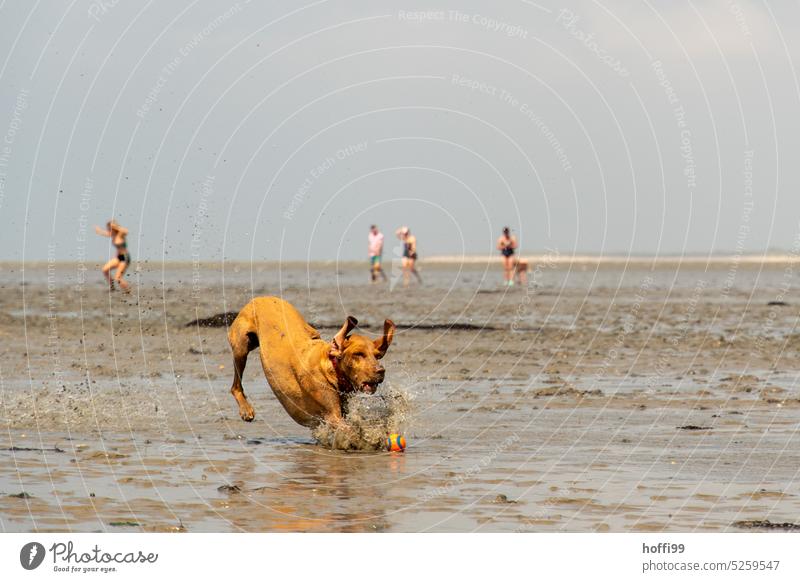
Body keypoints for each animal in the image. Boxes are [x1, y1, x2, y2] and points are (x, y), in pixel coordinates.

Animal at [225, 298, 394, 432]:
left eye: (377, 356)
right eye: (358, 354)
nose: (381, 371)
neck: (329, 367)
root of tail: (259, 298)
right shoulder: (333, 416)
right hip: (241, 347)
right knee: (235, 386)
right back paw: (246, 410)